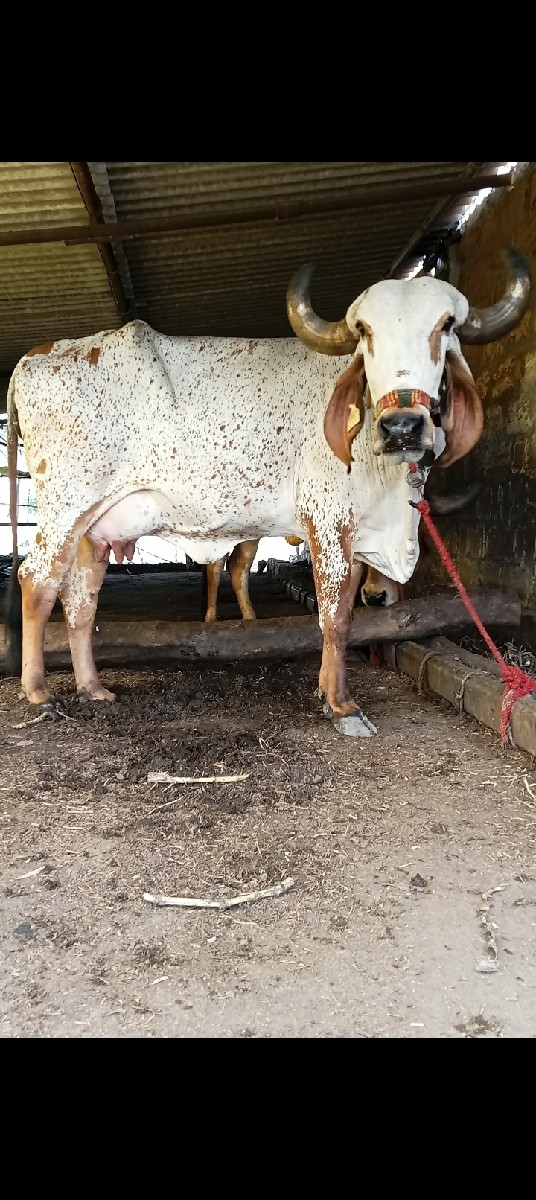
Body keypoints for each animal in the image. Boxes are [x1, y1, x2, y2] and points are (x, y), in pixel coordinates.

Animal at [4, 248, 530, 736]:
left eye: (447, 325)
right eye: (365, 331)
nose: (402, 426)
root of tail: (36, 354)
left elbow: (346, 606)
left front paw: (327, 689)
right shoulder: (327, 519)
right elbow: (335, 614)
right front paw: (342, 705)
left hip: (96, 529)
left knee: (81, 598)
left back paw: (92, 687)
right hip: (67, 504)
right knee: (37, 580)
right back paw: (39, 692)